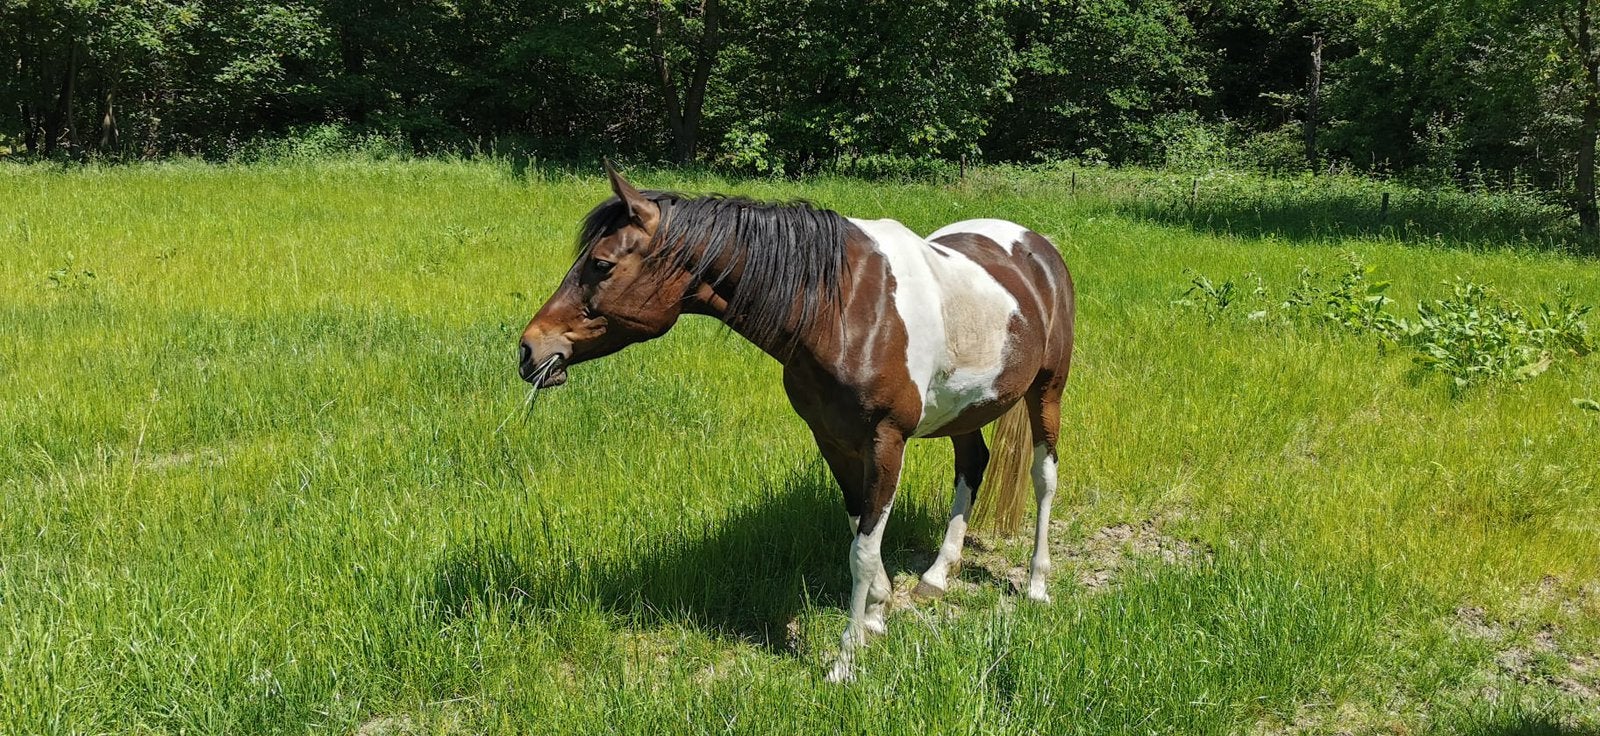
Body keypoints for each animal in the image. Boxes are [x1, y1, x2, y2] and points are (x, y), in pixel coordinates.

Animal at [519, 163, 1075, 682]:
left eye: (601, 263)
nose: (529, 349)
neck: (842, 309)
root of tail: (1036, 245)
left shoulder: (886, 441)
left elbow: (862, 549)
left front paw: (845, 661)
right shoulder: (832, 439)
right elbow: (858, 530)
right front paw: (877, 613)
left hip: (1047, 391)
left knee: (1044, 477)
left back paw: (1036, 585)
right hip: (965, 409)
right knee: (972, 464)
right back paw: (937, 576)